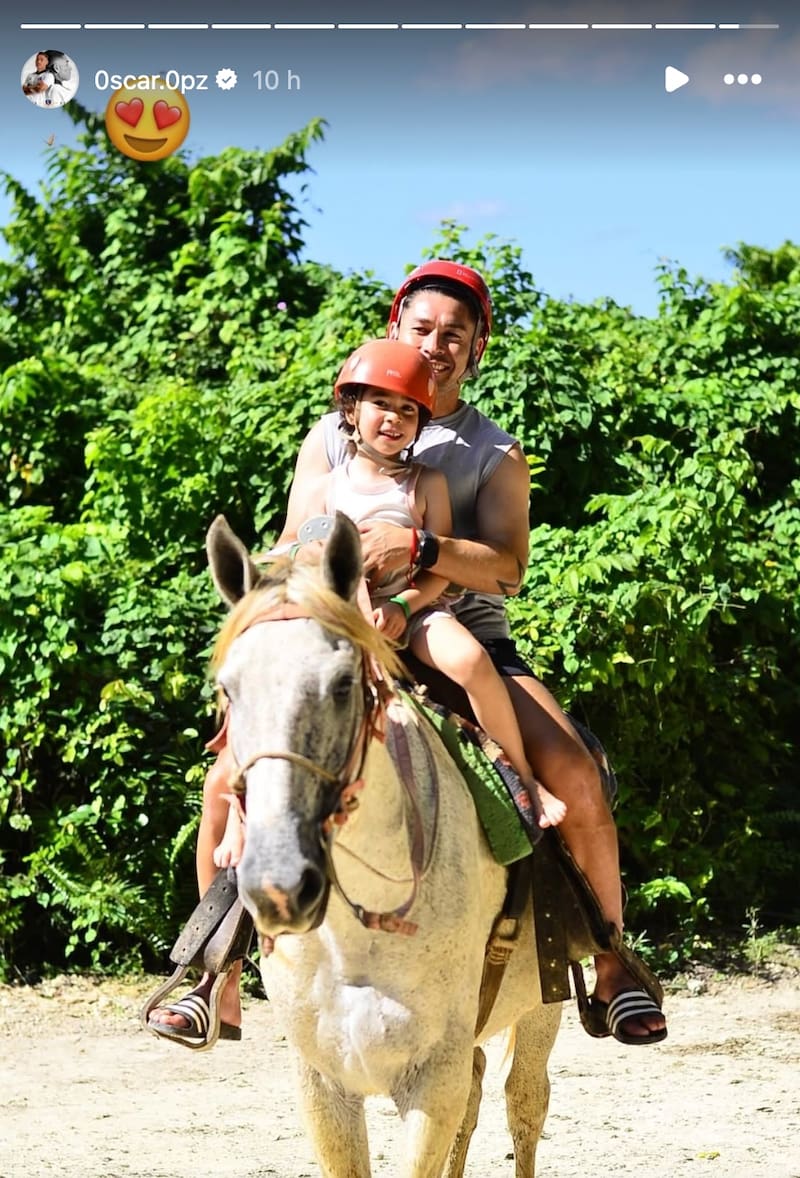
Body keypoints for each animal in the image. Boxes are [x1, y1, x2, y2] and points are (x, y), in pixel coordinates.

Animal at [206, 512, 562, 1178]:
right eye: (228, 690)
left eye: (343, 684)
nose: (279, 886)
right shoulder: (323, 1086)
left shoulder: (431, 1082)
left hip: (540, 1009)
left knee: (523, 1106)